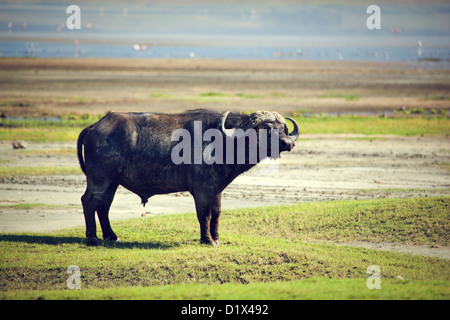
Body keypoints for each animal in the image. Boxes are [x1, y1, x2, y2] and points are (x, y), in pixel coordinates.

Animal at [77, 109, 298, 246]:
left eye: (284, 129)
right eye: (267, 128)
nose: (288, 143)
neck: (223, 142)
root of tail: (95, 126)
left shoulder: (216, 190)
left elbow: (216, 214)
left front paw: (216, 239)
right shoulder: (201, 190)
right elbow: (204, 215)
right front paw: (207, 240)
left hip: (113, 182)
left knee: (104, 206)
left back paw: (111, 236)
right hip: (100, 178)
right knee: (89, 201)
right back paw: (93, 238)